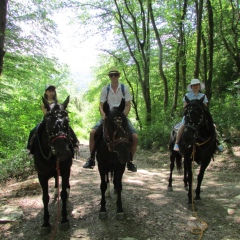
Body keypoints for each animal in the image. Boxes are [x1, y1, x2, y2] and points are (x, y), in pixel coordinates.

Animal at [32, 96, 73, 234]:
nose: (64, 152)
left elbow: (63, 194)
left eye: (67, 121)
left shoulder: (65, 171)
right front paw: (45, 223)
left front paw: (64, 219)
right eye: (49, 122)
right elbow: (45, 198)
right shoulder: (41, 175)